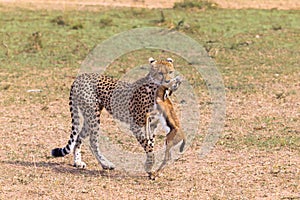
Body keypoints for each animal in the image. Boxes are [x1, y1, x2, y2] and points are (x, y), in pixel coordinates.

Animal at [51, 57, 185, 177]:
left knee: (79, 136)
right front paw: (150, 166)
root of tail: (81, 76)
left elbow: (150, 145)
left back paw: (78, 162)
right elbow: (147, 146)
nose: (168, 81)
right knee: (92, 142)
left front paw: (149, 168)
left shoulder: (152, 125)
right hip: (93, 115)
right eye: (160, 73)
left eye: (170, 72)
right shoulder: (135, 125)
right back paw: (105, 163)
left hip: (90, 116)